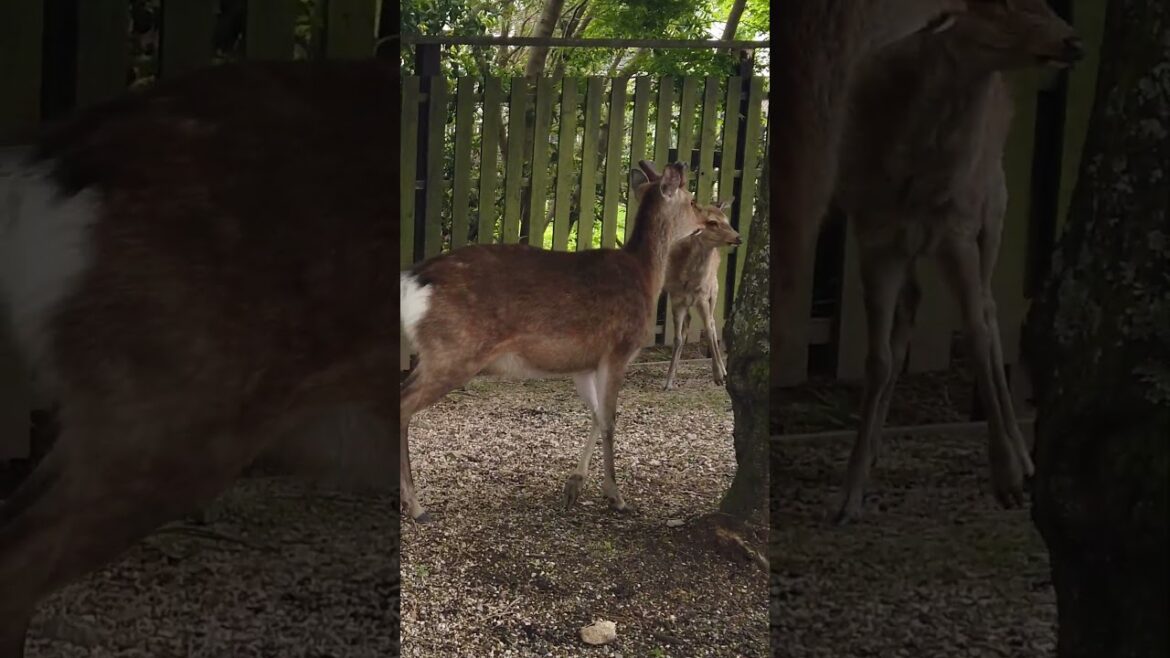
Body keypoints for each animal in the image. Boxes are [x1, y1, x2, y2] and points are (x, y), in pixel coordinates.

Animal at [400, 160, 710, 523]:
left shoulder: (583, 364)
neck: (646, 276)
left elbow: (596, 415)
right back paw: (416, 505)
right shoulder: (618, 350)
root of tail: (413, 281)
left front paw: (574, 486)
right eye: (692, 201)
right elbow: (610, 419)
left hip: (434, 354)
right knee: (403, 405)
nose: (705, 222)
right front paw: (616, 496)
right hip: (453, 351)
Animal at [662, 199, 742, 390]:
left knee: (712, 324)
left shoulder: (703, 298)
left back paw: (724, 371)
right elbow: (677, 338)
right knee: (689, 325)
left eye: (727, 220)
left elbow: (709, 330)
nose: (738, 237)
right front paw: (668, 381)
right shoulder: (676, 299)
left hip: (715, 289)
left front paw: (718, 376)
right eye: (712, 222)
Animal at [830, 0, 1085, 523]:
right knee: (915, 305)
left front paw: (1007, 478)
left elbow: (976, 332)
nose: (1074, 41)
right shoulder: (874, 236)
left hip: (996, 202)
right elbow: (877, 359)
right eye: (999, 6)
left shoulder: (957, 231)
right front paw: (849, 494)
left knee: (988, 310)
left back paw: (1023, 457)